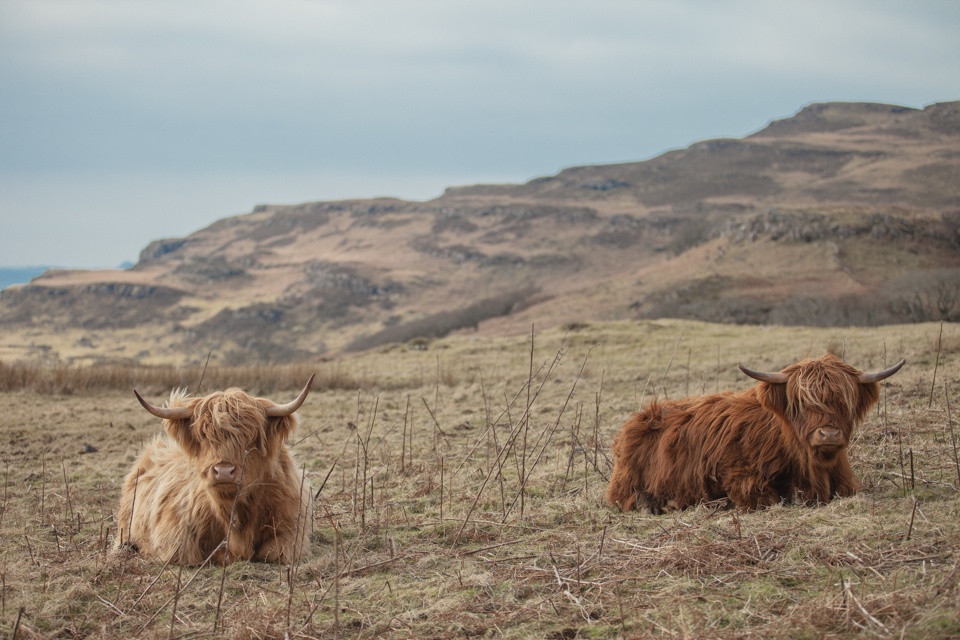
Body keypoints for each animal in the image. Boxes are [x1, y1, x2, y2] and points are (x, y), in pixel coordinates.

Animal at [115, 376, 315, 565]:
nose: (224, 471)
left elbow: (274, 552)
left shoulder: (290, 531)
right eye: (204, 436)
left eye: (250, 438)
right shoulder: (175, 538)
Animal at [606, 355, 904, 513]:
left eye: (844, 402)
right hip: (628, 485)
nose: (829, 434)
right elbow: (767, 497)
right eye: (801, 403)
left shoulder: (843, 482)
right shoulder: (741, 477)